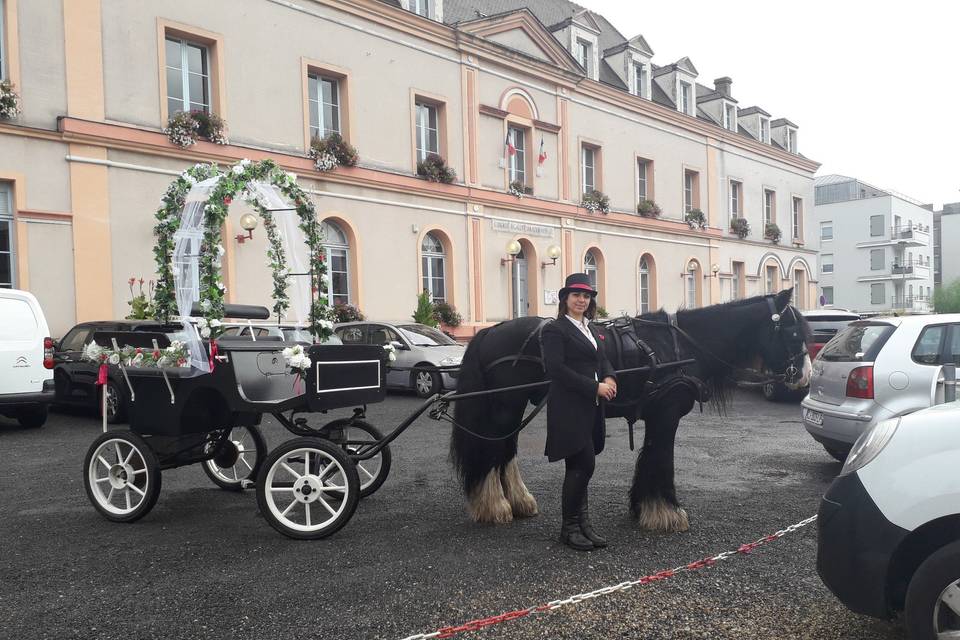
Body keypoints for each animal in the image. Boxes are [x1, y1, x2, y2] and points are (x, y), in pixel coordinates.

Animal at [450, 288, 808, 528]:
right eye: (793, 333)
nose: (804, 375)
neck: (681, 346)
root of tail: (489, 332)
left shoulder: (657, 415)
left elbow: (650, 455)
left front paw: (643, 506)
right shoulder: (667, 414)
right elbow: (661, 456)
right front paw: (665, 511)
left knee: (506, 448)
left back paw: (518, 501)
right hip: (506, 405)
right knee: (495, 448)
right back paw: (494, 506)